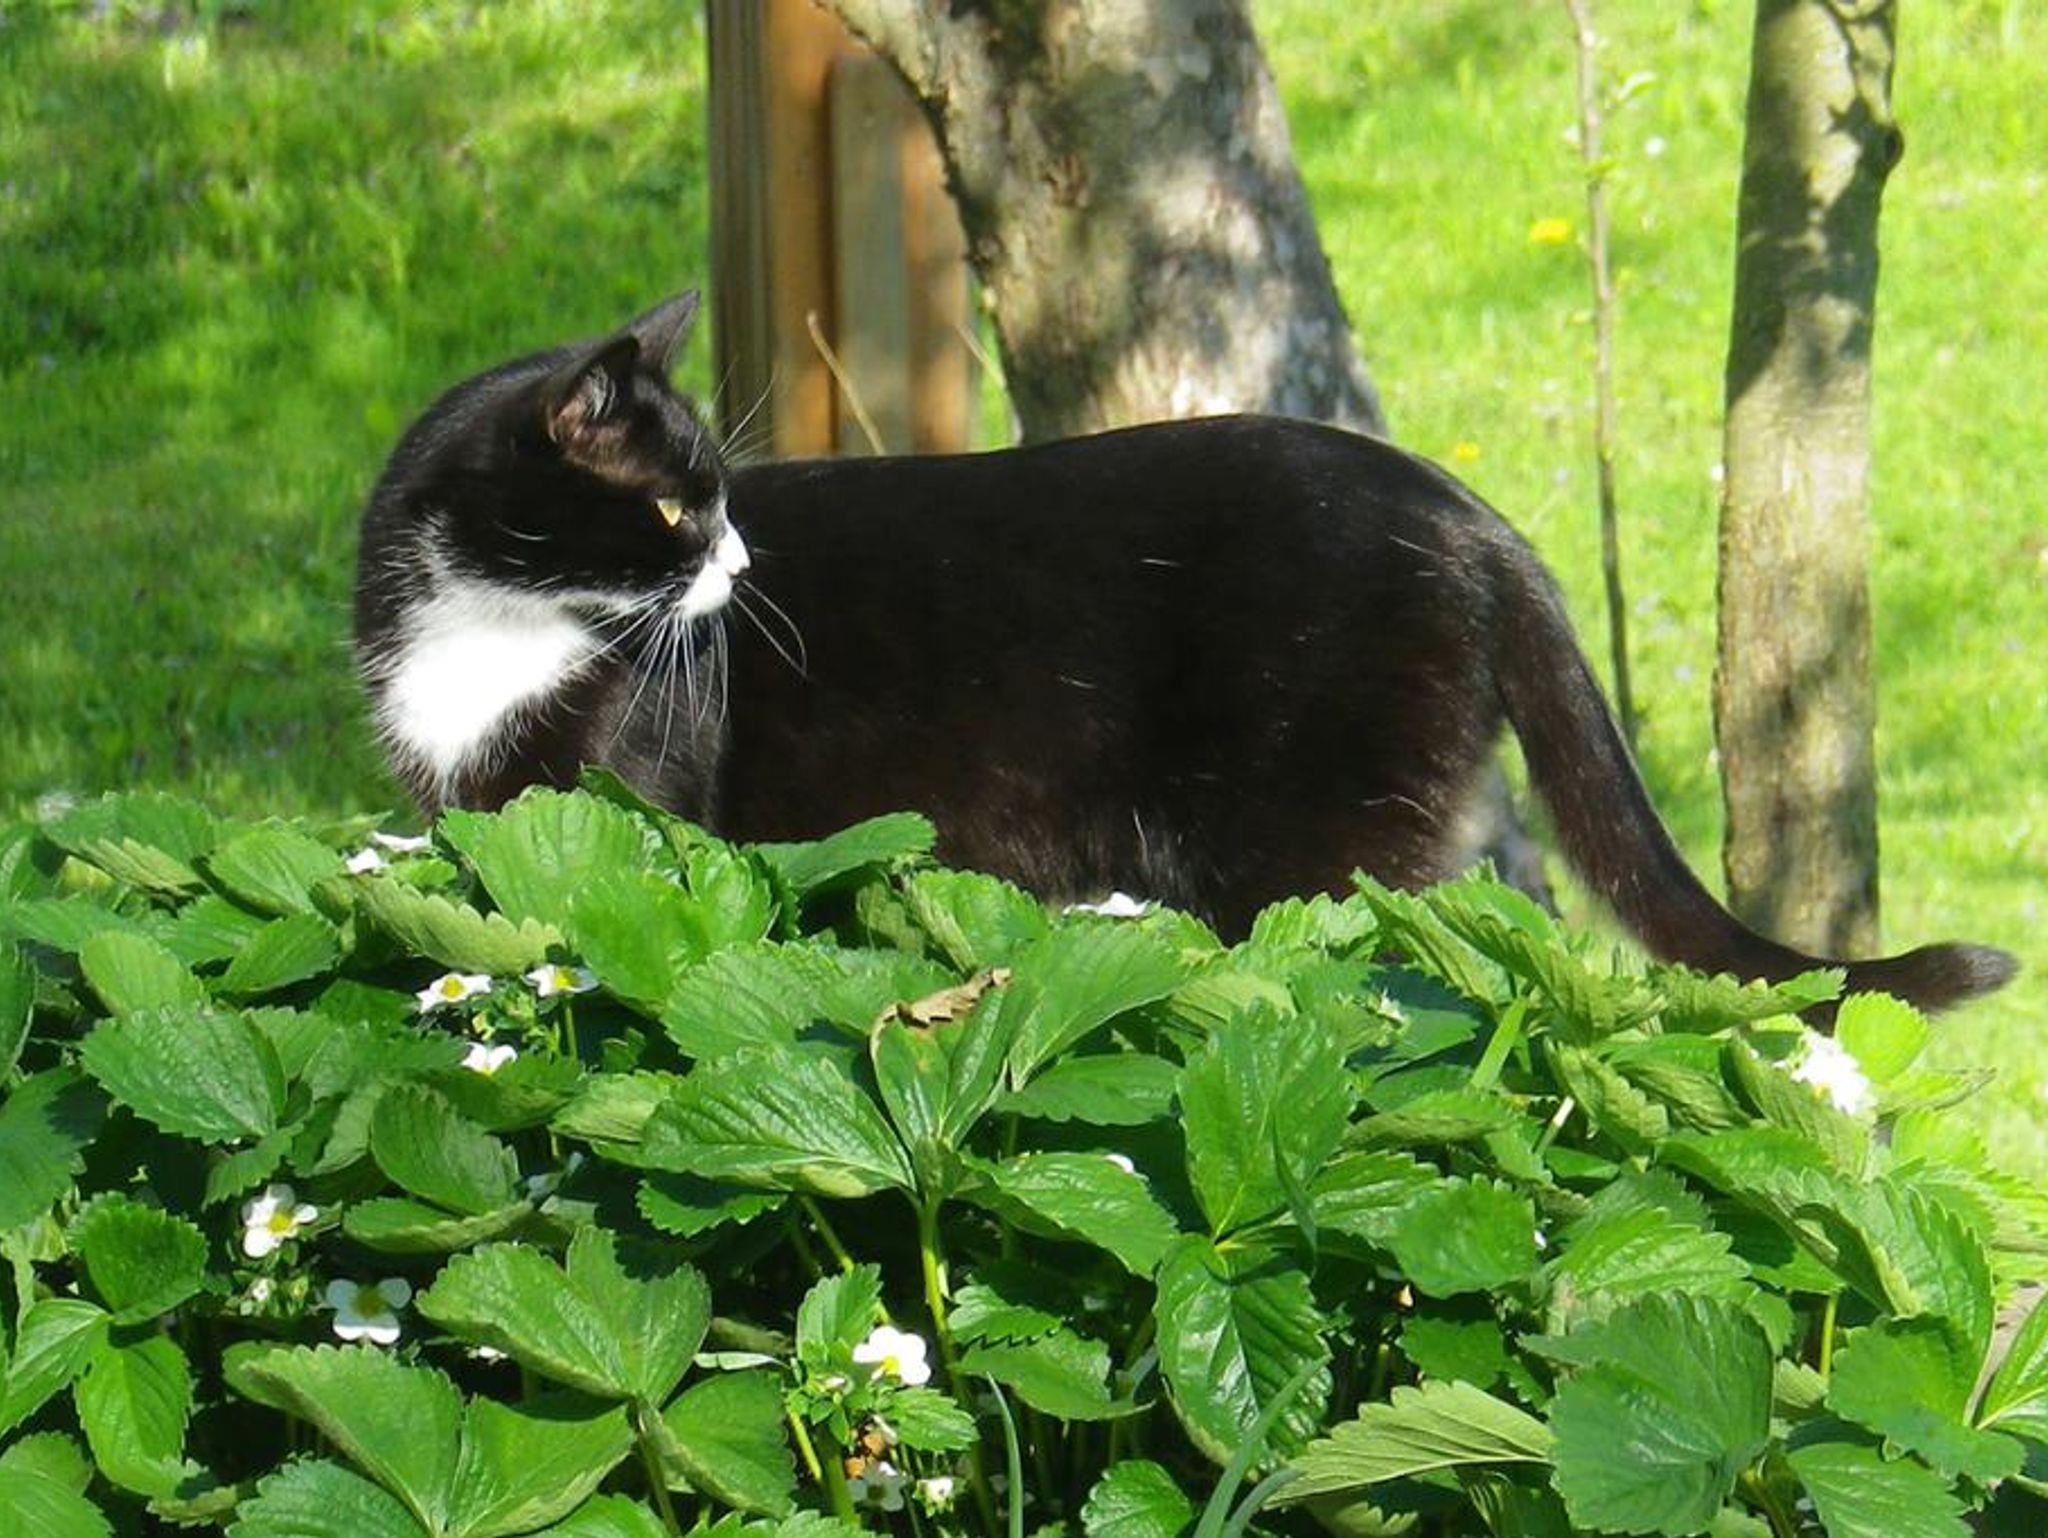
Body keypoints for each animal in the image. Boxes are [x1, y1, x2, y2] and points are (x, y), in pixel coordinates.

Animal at [353, 293, 2015, 1014]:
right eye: (677, 501)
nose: (744, 564)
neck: (488, 632)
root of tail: (1472, 512)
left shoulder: (631, 816)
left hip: (1304, 828)